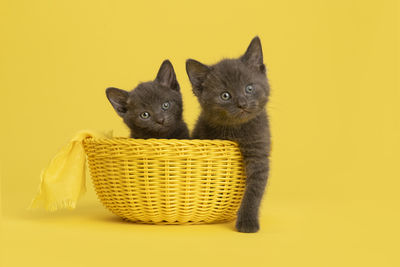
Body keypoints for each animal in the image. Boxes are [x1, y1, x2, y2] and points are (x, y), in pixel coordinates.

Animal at [186, 36, 270, 233]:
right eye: (225, 95)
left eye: (249, 88)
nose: (242, 104)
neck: (237, 130)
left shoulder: (259, 150)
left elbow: (254, 188)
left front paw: (247, 221)